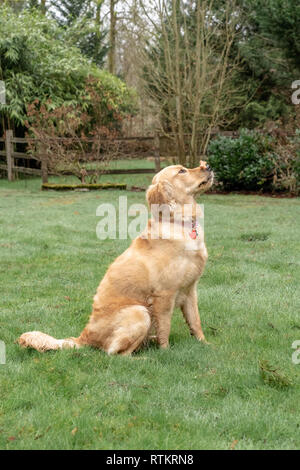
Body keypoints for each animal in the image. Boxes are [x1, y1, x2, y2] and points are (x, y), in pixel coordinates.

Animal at [18, 163, 213, 354]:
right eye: (182, 171)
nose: (208, 166)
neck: (179, 222)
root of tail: (84, 337)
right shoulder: (164, 295)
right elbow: (165, 328)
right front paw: (165, 352)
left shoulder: (190, 290)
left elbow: (196, 321)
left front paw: (205, 344)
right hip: (140, 312)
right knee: (115, 354)